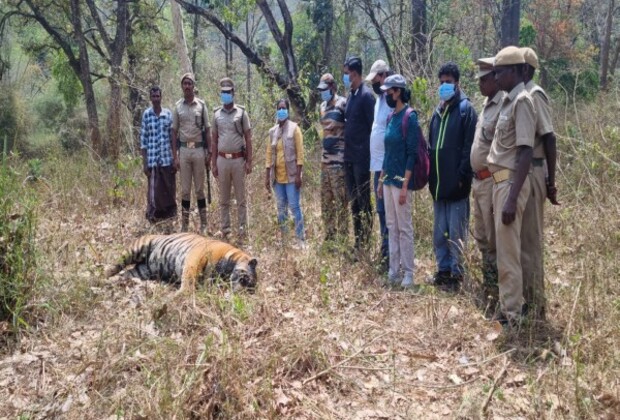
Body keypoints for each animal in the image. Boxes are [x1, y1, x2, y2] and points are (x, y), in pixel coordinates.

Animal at [104, 231, 256, 294]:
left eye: (250, 289)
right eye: (244, 279)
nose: (240, 294)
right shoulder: (195, 256)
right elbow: (189, 276)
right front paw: (182, 294)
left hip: (142, 272)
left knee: (124, 275)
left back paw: (106, 282)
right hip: (136, 249)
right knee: (116, 265)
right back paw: (102, 275)